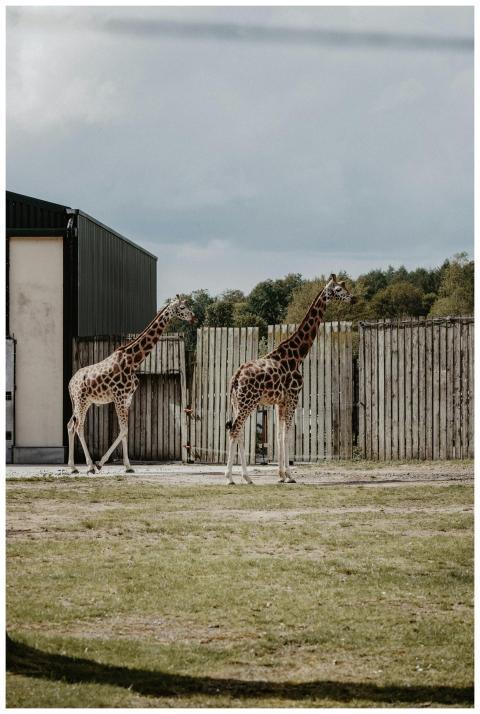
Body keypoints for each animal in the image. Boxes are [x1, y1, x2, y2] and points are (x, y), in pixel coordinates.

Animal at [67, 297, 196, 474]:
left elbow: (125, 431)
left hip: (83, 402)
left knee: (70, 426)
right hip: (81, 400)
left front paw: (128, 466)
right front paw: (100, 463)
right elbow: (124, 429)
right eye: (182, 307)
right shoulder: (119, 397)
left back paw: (73, 467)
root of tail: (70, 383)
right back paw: (90, 466)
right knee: (79, 427)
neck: (134, 361)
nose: (194, 318)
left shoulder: (127, 399)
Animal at [224, 274, 356, 484]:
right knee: (234, 430)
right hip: (248, 403)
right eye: (338, 290)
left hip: (238, 403)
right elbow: (287, 435)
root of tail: (235, 377)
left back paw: (247, 477)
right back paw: (230, 478)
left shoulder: (280, 401)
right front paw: (290, 475)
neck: (296, 355)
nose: (354, 299)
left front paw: (281, 475)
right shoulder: (293, 396)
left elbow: (279, 435)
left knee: (239, 432)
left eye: (345, 287)